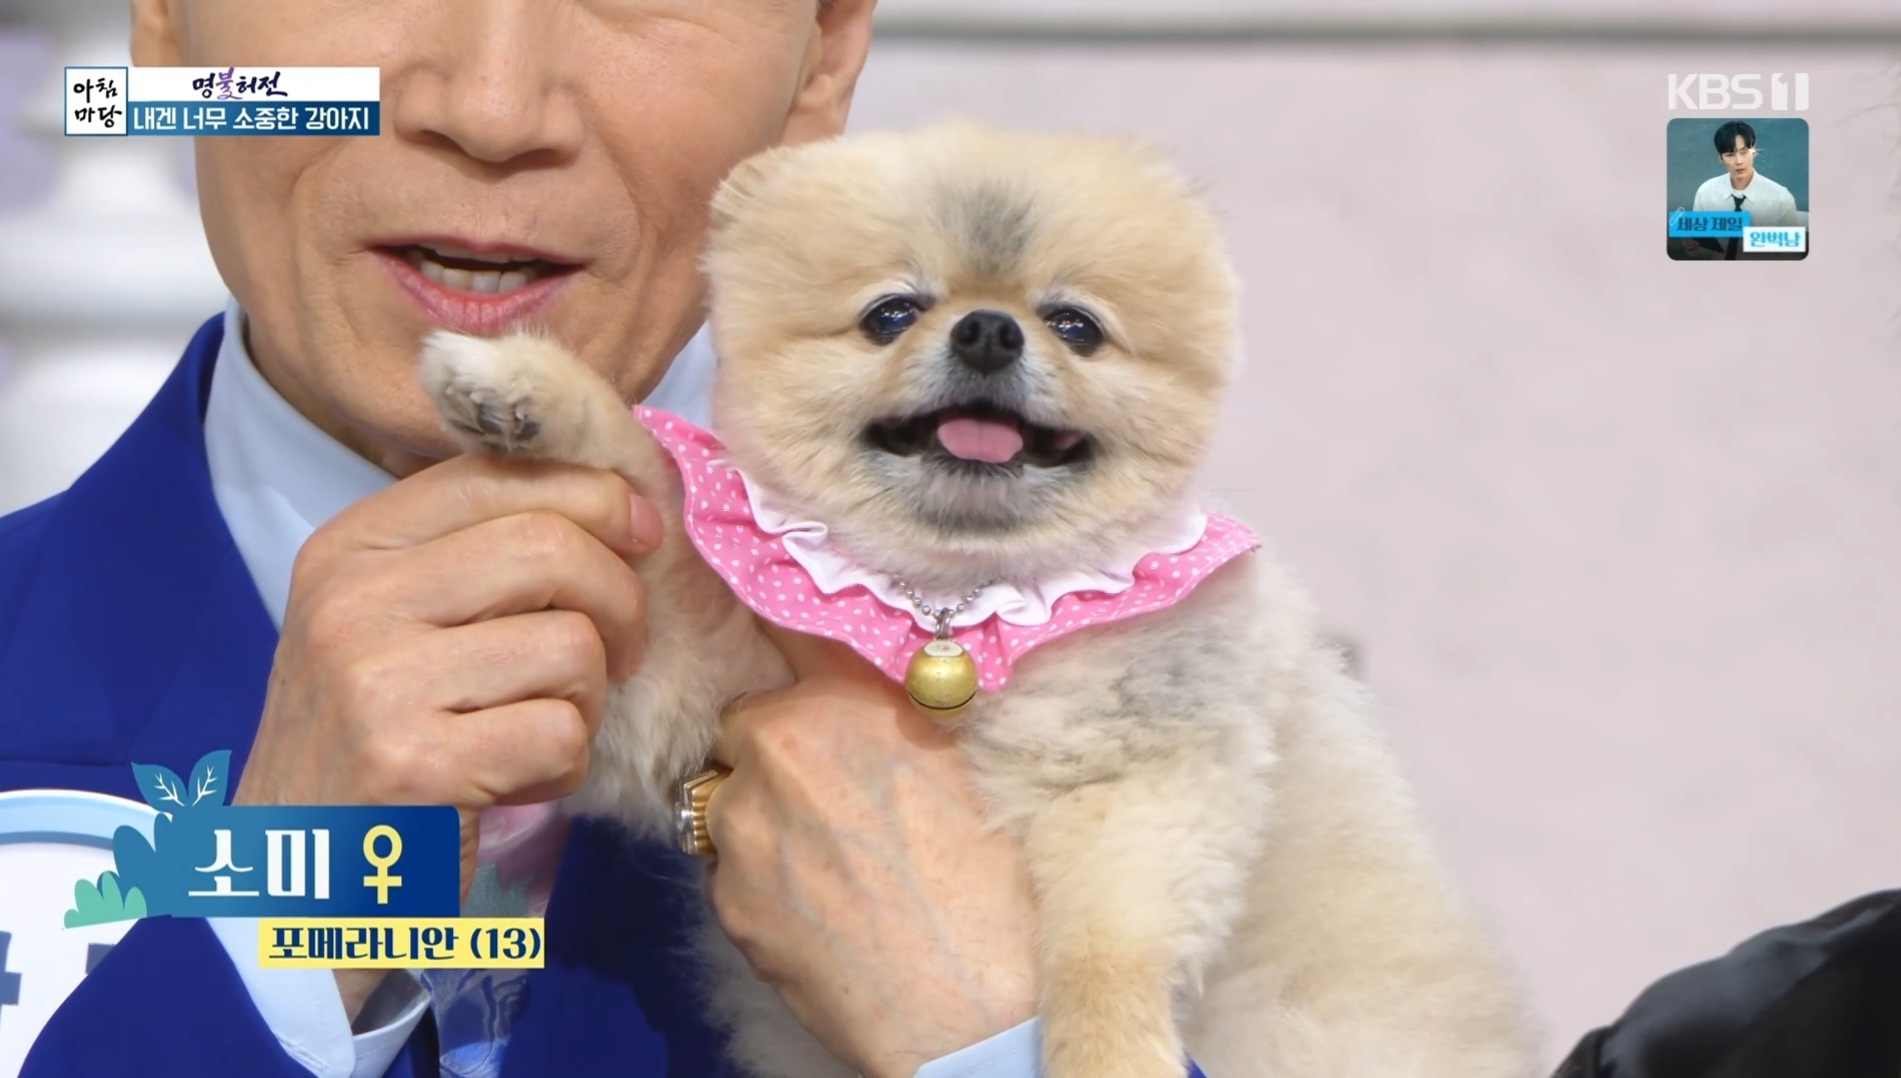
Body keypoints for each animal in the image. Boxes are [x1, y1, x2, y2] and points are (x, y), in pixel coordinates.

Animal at [419, 121, 1537, 1078]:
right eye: (890, 314)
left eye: (1076, 326)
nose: (991, 332)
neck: (945, 606)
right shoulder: (701, 691)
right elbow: (654, 491)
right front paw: (519, 392)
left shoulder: (1140, 775)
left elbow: (1103, 952)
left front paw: (1108, 1055)